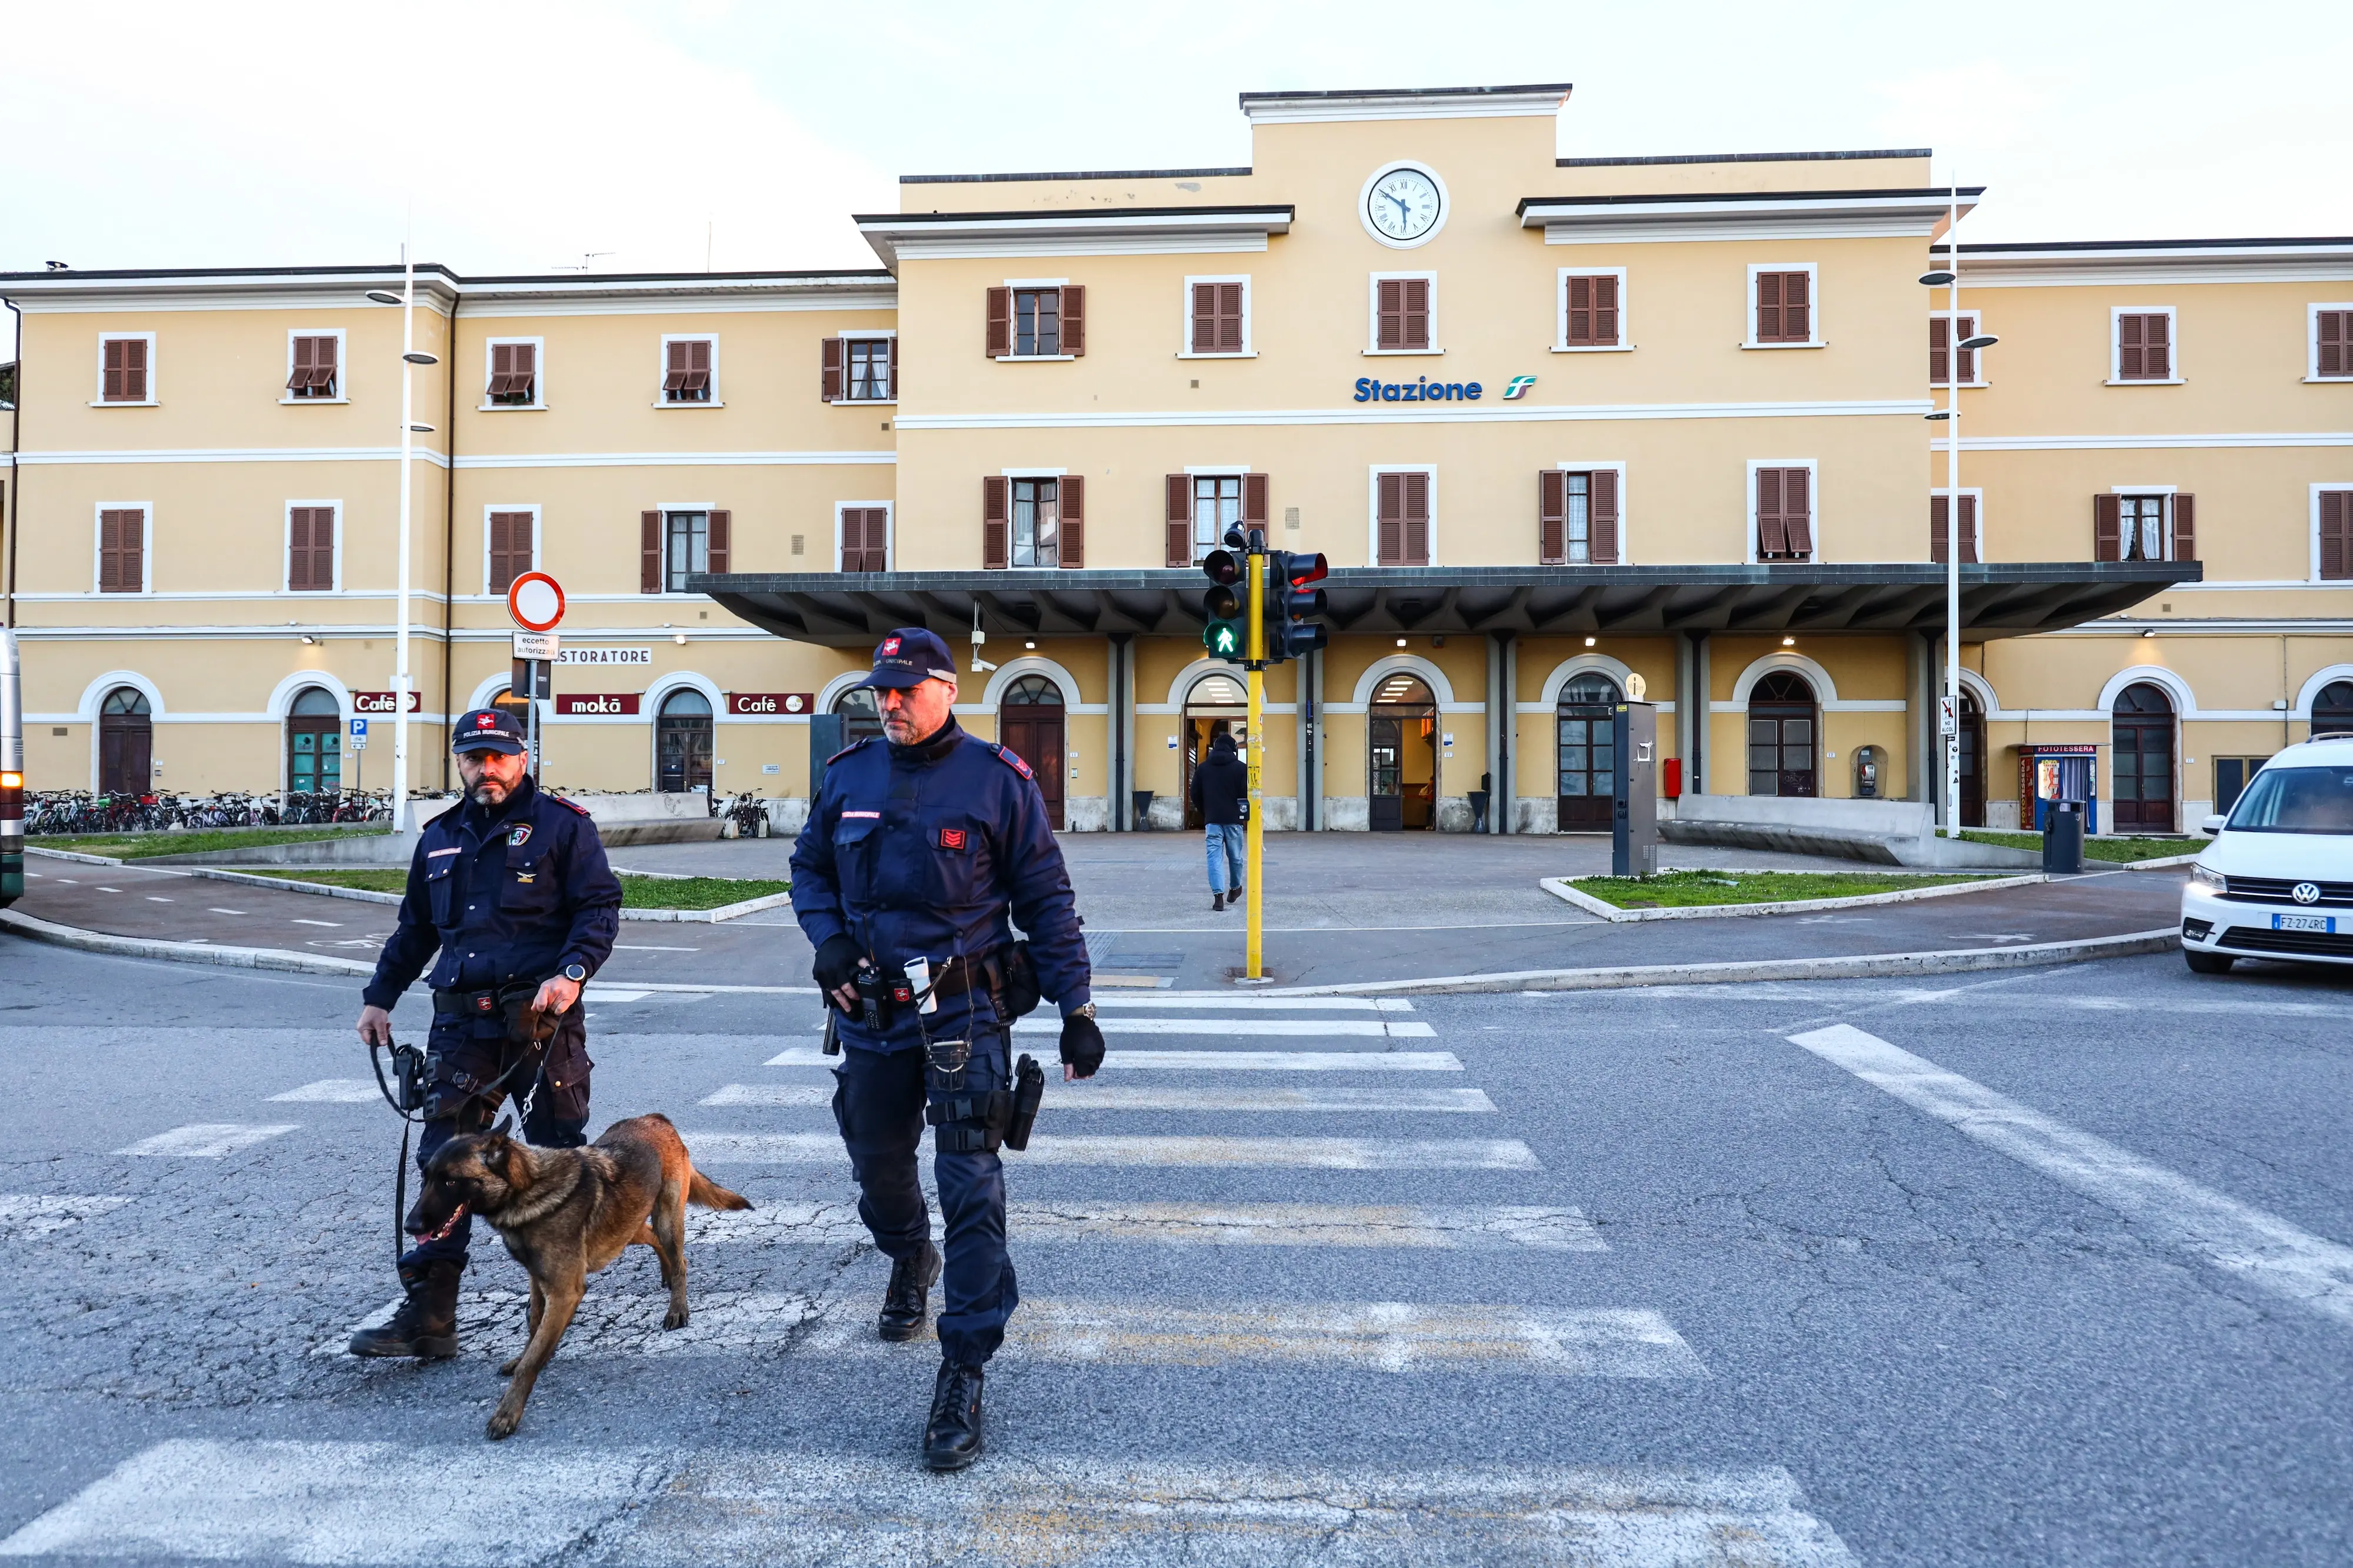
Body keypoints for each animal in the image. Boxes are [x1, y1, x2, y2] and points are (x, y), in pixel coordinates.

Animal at [409, 1106, 748, 1431]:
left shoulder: (564, 1293)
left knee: (680, 1261)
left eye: (451, 1181)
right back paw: (665, 1274)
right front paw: (529, 1355)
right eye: (426, 1177)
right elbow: (534, 1325)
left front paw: (508, 1412)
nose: (410, 1226)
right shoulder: (538, 1279)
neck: (528, 1190)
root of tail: (655, 1119)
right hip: (624, 1229)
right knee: (654, 1239)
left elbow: (530, 1362)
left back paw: (677, 1307)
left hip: (665, 1219)